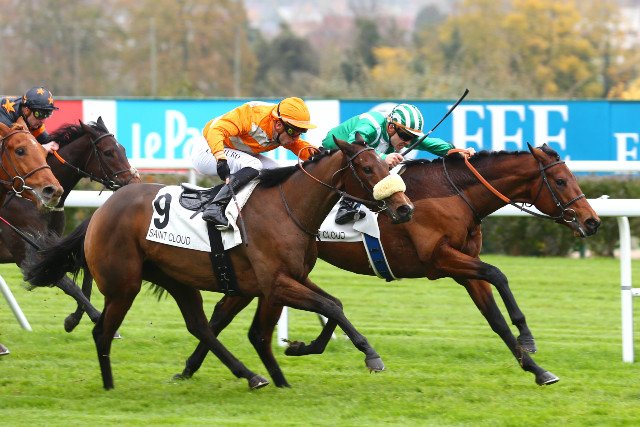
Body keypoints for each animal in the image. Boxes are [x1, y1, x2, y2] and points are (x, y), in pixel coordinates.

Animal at [0, 117, 139, 331]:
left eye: (123, 149)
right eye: (108, 152)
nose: (135, 182)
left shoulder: (55, 245)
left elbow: (85, 275)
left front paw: (75, 318)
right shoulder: (27, 255)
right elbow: (68, 283)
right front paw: (94, 318)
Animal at [23, 137, 415, 390]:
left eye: (385, 164)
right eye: (367, 167)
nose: (404, 208)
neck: (287, 207)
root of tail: (100, 212)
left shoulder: (287, 279)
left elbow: (332, 305)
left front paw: (301, 349)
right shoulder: (276, 283)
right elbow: (328, 308)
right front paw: (370, 355)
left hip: (175, 280)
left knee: (199, 325)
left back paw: (251, 376)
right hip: (124, 285)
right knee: (102, 331)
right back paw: (108, 385)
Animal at [163, 143, 600, 387]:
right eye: (561, 181)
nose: (592, 220)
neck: (452, 193)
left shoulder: (463, 267)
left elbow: (495, 318)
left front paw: (537, 369)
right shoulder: (440, 258)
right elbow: (499, 273)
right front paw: (528, 336)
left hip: (262, 274)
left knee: (222, 311)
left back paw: (191, 369)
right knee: (223, 312)